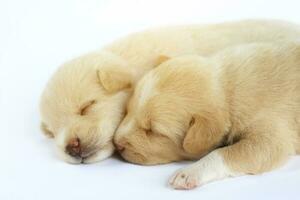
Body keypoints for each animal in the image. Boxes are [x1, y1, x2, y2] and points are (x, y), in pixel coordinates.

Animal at [114, 42, 300, 189]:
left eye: (153, 131)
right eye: (128, 111)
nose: (116, 143)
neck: (227, 86)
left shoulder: (269, 133)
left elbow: (225, 153)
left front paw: (190, 172)